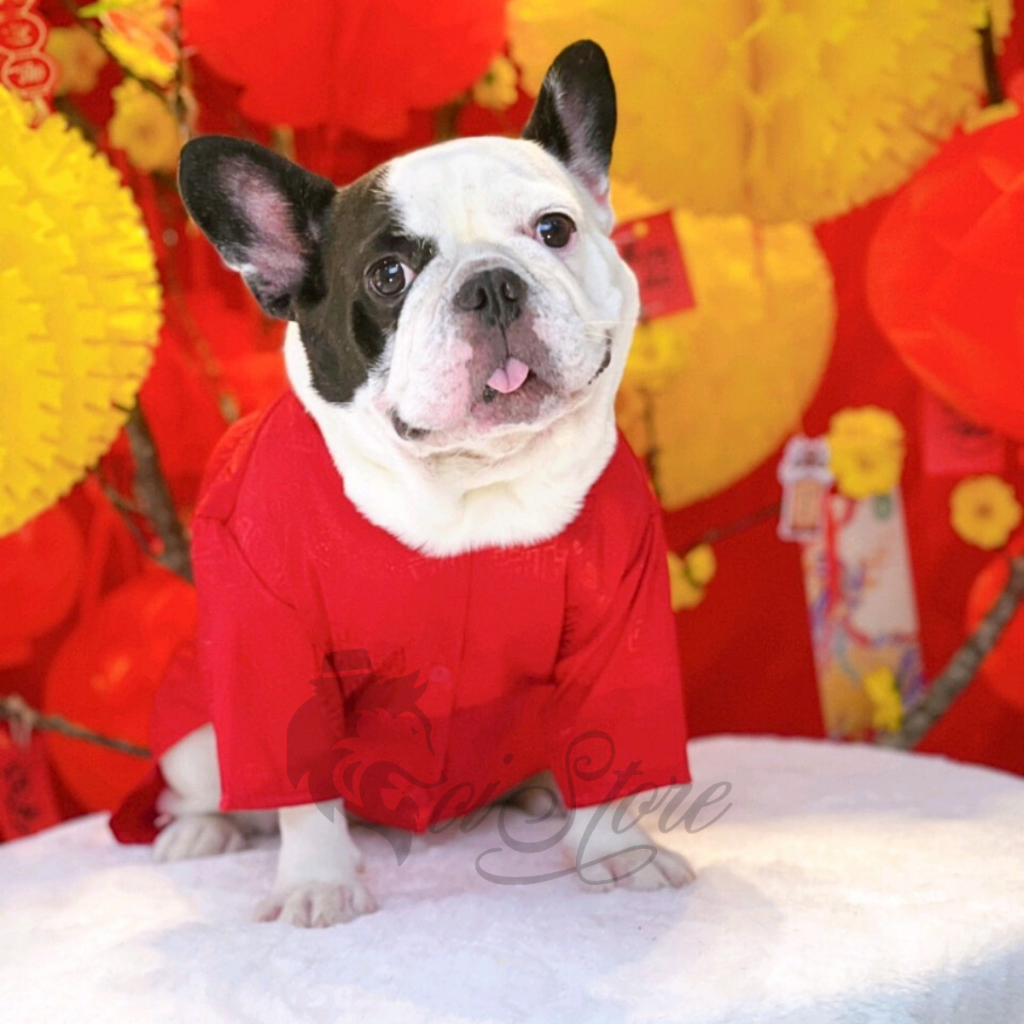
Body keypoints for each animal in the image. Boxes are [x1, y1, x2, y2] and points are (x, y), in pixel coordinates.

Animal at [126, 40, 695, 927]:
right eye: (388, 275)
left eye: (555, 230)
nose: (491, 282)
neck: (471, 482)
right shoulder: (265, 635)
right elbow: (299, 786)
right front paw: (317, 881)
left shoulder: (621, 617)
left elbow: (612, 748)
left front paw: (618, 853)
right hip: (194, 744)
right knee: (209, 789)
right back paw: (203, 831)